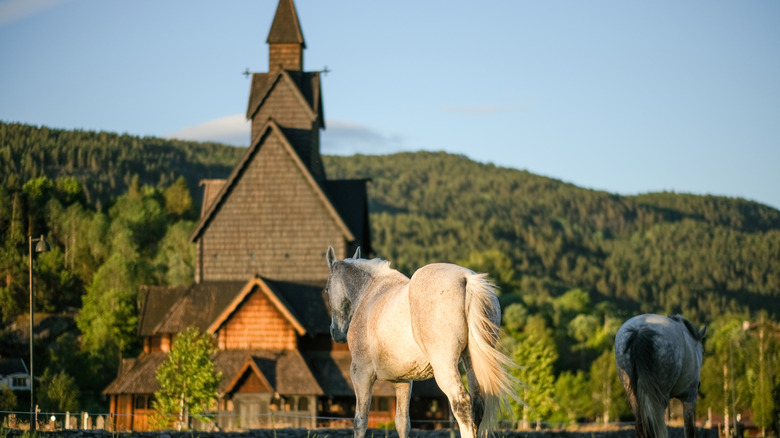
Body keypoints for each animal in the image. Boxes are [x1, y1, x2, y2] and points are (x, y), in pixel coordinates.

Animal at [325, 247, 517, 438]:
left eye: (326, 289)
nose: (335, 332)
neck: (371, 292)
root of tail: (466, 278)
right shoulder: (402, 381)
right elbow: (402, 422)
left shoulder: (361, 375)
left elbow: (360, 421)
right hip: (471, 363)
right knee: (477, 404)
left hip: (445, 367)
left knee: (461, 404)